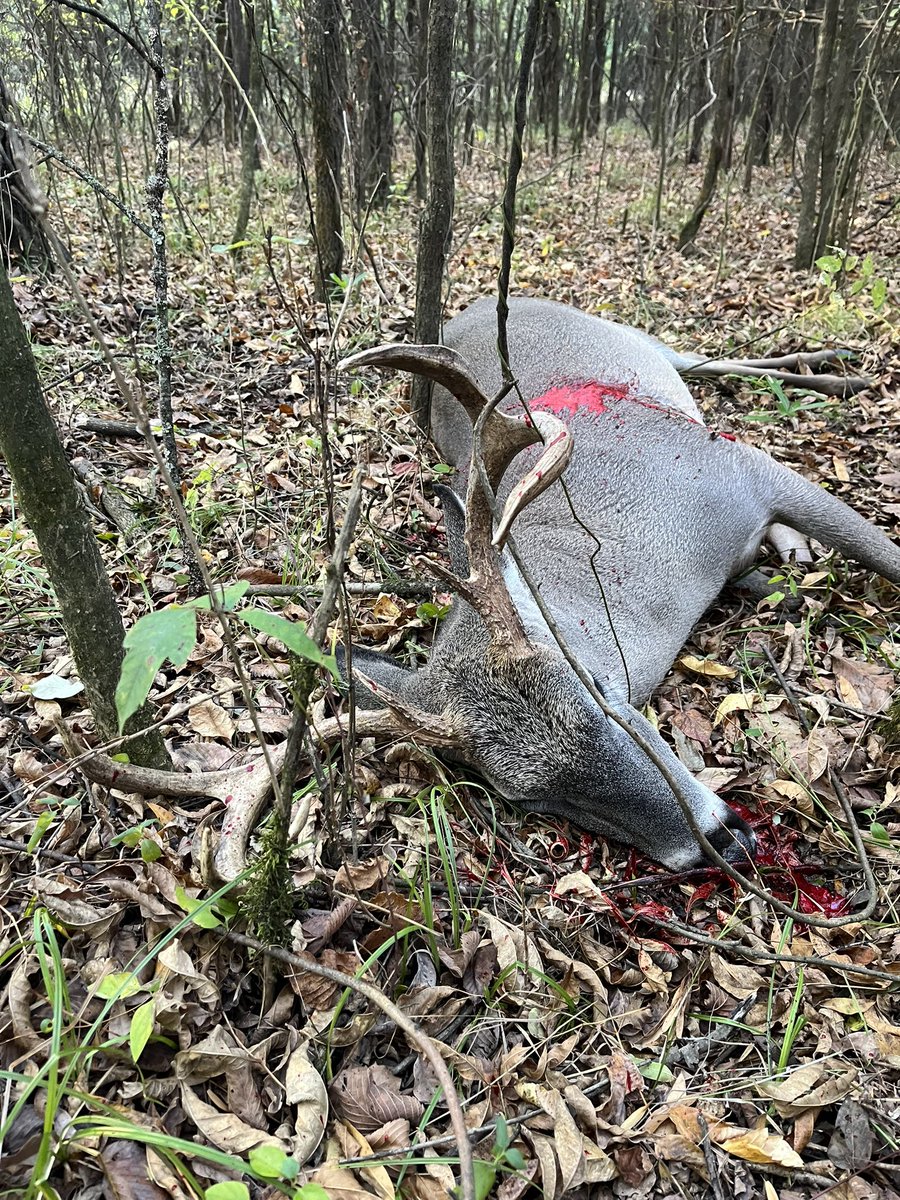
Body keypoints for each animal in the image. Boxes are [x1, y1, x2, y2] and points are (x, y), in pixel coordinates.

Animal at [339, 298, 900, 872]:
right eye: (533, 798)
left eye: (598, 685)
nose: (724, 841)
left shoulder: (745, 467)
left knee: (703, 361)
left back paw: (841, 370)